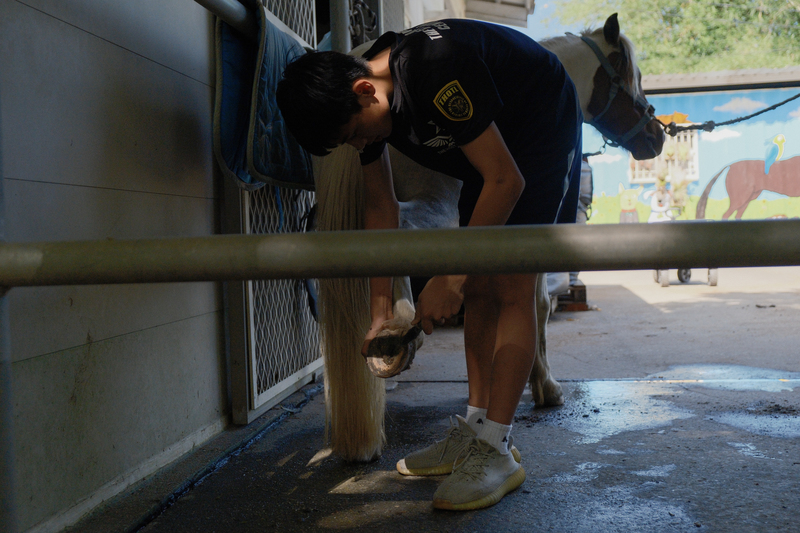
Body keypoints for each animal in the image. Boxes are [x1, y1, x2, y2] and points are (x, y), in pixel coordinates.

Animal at [312, 13, 664, 462]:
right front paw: (545, 386)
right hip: (434, 204)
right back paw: (402, 323)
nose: (656, 137)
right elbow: (539, 304)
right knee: (401, 235)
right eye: (633, 76)